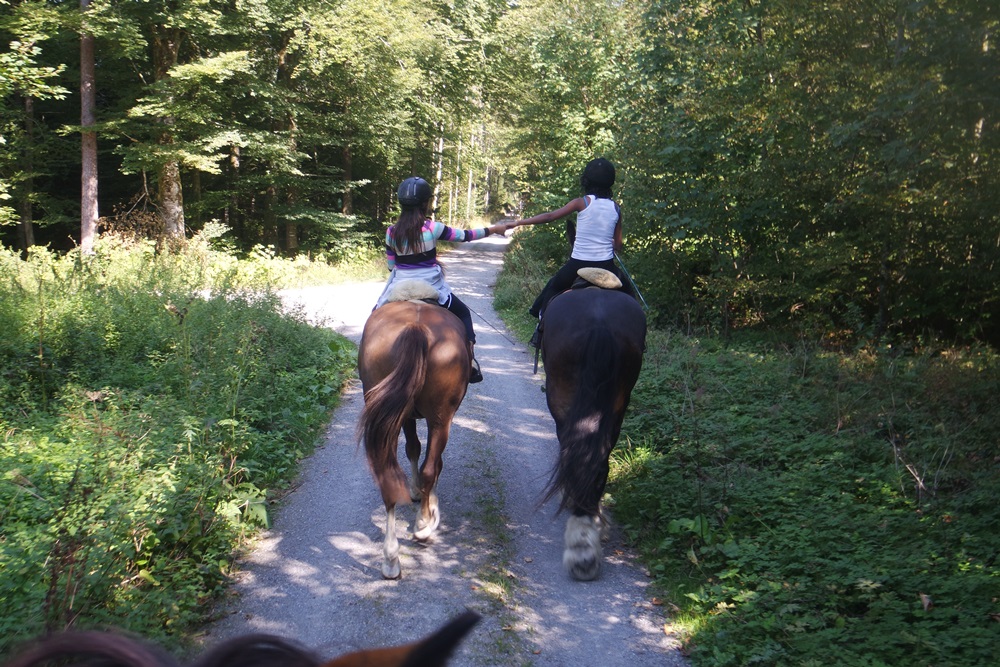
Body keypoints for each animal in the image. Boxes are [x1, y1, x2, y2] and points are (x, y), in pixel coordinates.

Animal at [357, 284, 471, 579]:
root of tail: (416, 328)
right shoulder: (436, 419)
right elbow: (430, 459)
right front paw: (425, 501)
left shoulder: (405, 415)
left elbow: (413, 448)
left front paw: (417, 492)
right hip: (441, 418)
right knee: (431, 466)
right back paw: (423, 525)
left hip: (387, 413)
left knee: (387, 475)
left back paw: (390, 559)